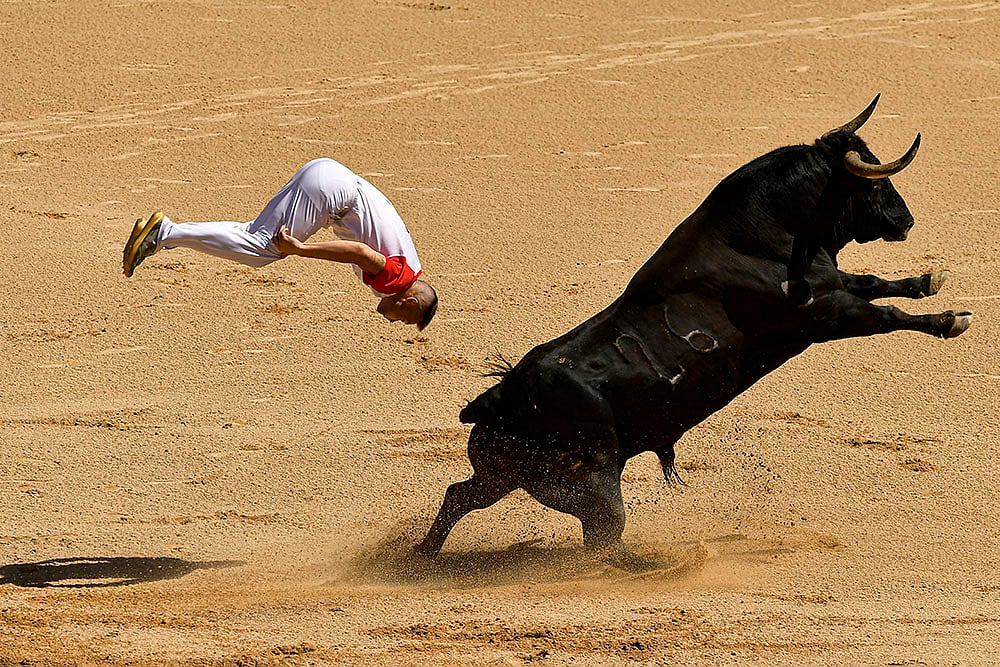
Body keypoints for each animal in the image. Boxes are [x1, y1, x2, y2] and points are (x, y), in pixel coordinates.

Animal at [414, 96, 974, 571]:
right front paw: (950, 319)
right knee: (601, 539)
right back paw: (655, 567)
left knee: (461, 494)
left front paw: (929, 280)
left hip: (504, 473)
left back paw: (424, 555)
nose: (905, 220)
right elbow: (885, 314)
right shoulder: (825, 315)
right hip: (593, 482)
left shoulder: (835, 286)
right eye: (873, 185)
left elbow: (876, 283)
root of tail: (502, 394)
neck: (761, 232)